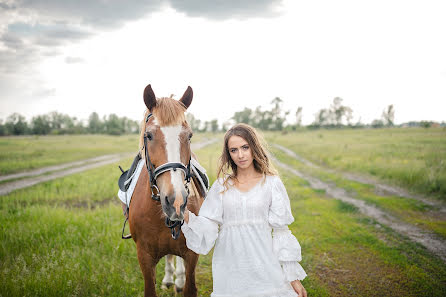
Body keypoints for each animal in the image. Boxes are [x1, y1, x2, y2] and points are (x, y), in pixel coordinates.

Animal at [129, 83, 204, 296]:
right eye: (148, 135)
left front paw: (181, 280)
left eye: (189, 136)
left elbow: (189, 287)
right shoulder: (144, 256)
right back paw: (170, 278)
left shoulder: (191, 254)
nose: (176, 201)